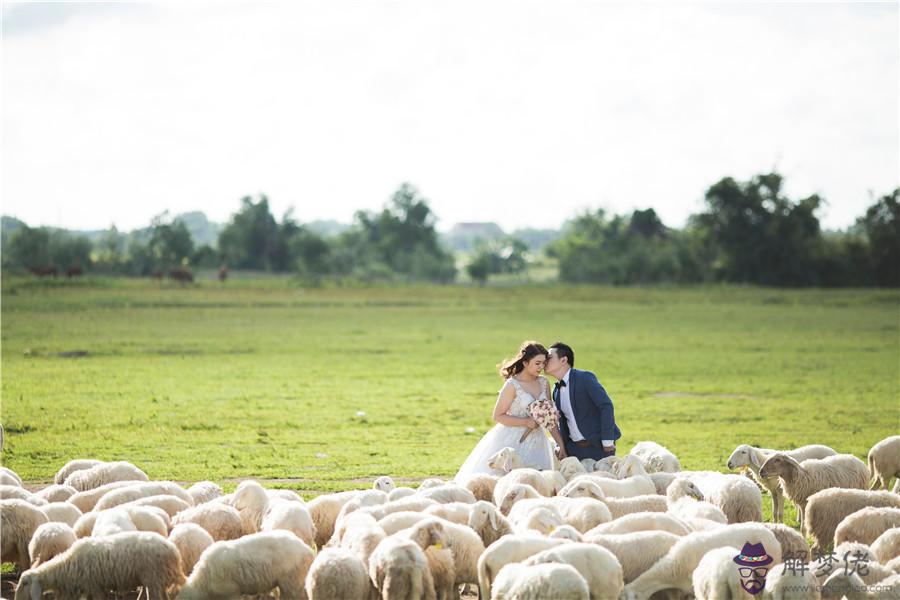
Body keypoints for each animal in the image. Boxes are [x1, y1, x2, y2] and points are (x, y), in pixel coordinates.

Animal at [13, 528, 185, 600]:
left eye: (25, 583)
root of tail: (173, 550)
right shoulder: (90, 588)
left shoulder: (95, 586)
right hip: (156, 581)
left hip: (153, 579)